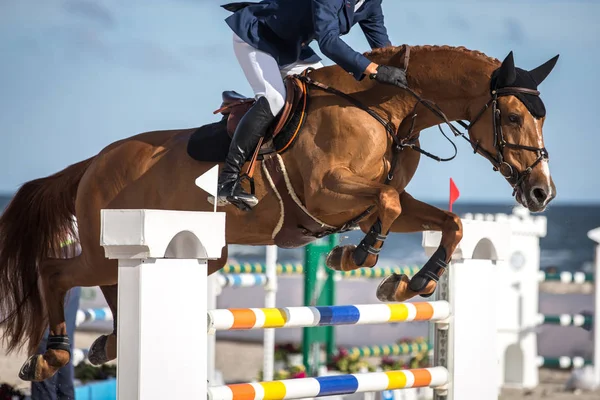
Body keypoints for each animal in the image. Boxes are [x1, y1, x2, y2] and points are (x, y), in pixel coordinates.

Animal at [2, 44, 560, 382]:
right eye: (513, 116)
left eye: (540, 118)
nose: (541, 194)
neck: (386, 110)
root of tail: (94, 161)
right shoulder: (327, 191)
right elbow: (390, 201)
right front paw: (356, 257)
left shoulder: (364, 205)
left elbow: (448, 221)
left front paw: (411, 283)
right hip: (115, 241)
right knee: (56, 271)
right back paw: (50, 356)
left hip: (205, 252)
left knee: (111, 285)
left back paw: (106, 345)